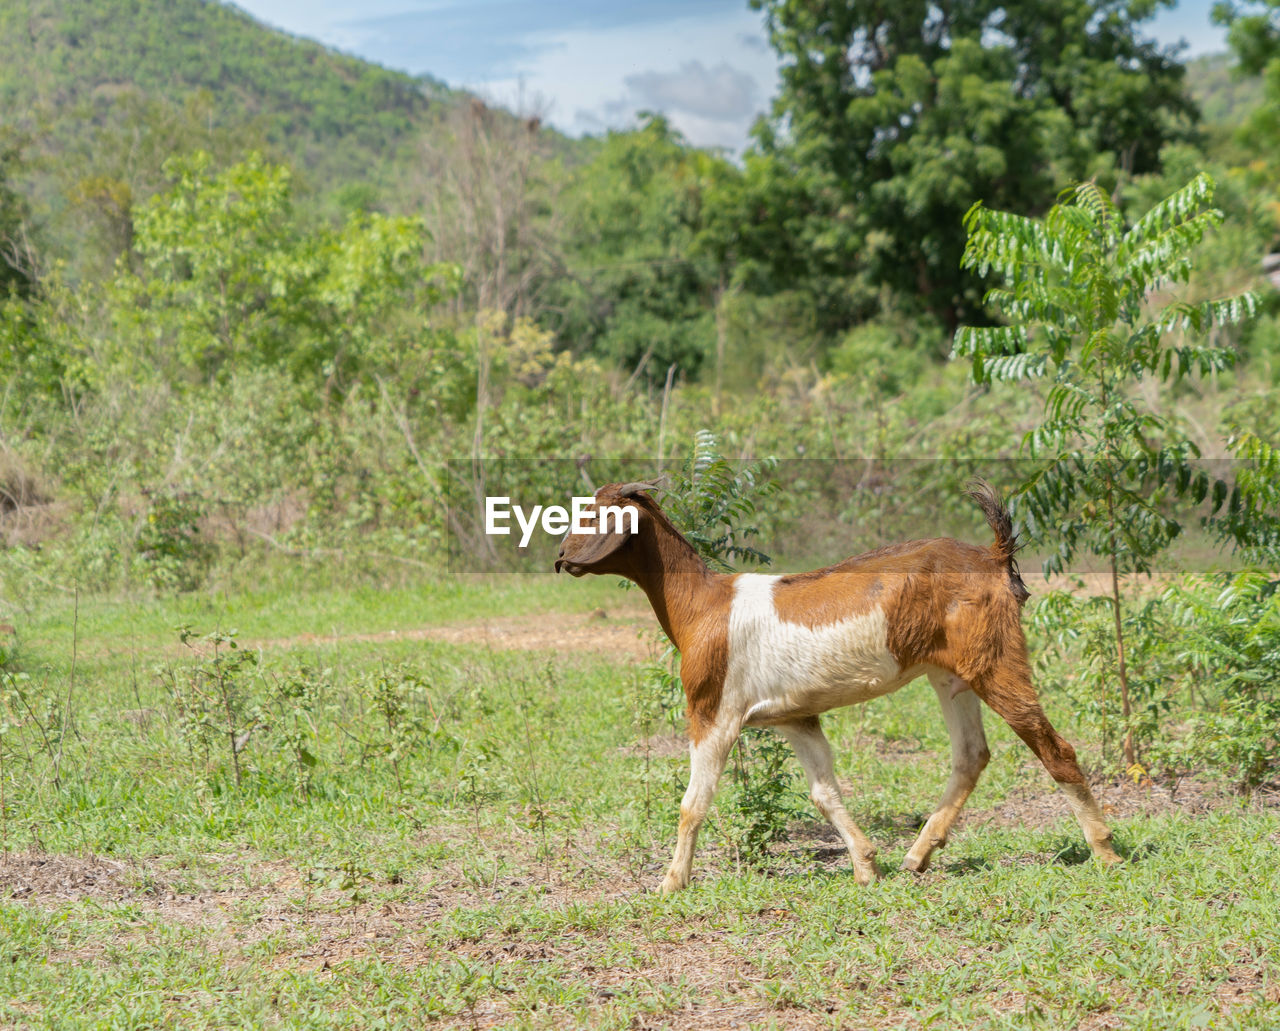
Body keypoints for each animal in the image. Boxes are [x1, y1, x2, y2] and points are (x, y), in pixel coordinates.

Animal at [552, 481, 1121, 891]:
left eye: (595, 516)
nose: (560, 559)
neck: (704, 606)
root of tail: (992, 555)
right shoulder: (794, 717)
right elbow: (823, 792)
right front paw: (867, 867)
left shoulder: (713, 711)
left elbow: (694, 802)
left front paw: (671, 884)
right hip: (950, 673)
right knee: (971, 755)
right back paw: (917, 855)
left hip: (995, 659)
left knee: (1054, 748)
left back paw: (1106, 850)